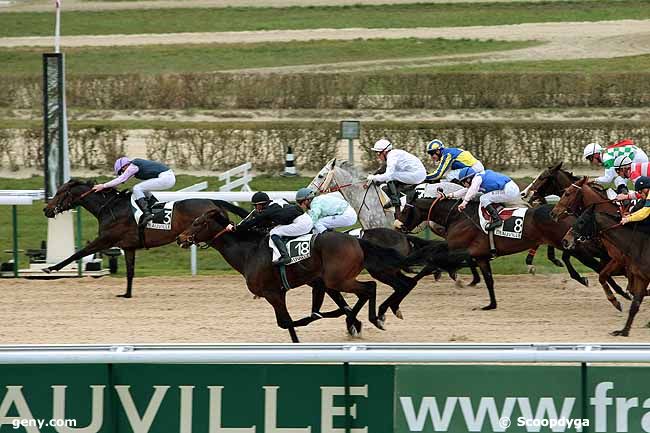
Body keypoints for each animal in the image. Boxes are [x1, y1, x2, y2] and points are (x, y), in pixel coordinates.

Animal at [41, 178, 248, 296]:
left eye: (60, 193)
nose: (46, 210)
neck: (110, 207)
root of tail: (214, 201)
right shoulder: (128, 247)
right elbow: (130, 271)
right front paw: (126, 294)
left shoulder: (106, 239)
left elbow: (78, 253)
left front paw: (51, 268)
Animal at [394, 196, 572, 310]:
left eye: (404, 211)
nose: (397, 227)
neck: (457, 216)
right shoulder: (479, 256)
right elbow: (488, 280)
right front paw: (491, 305)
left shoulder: (458, 250)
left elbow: (431, 262)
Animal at [560, 208, 648, 336]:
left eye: (582, 221)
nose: (565, 241)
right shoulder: (639, 276)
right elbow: (633, 304)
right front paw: (623, 330)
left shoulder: (620, 262)